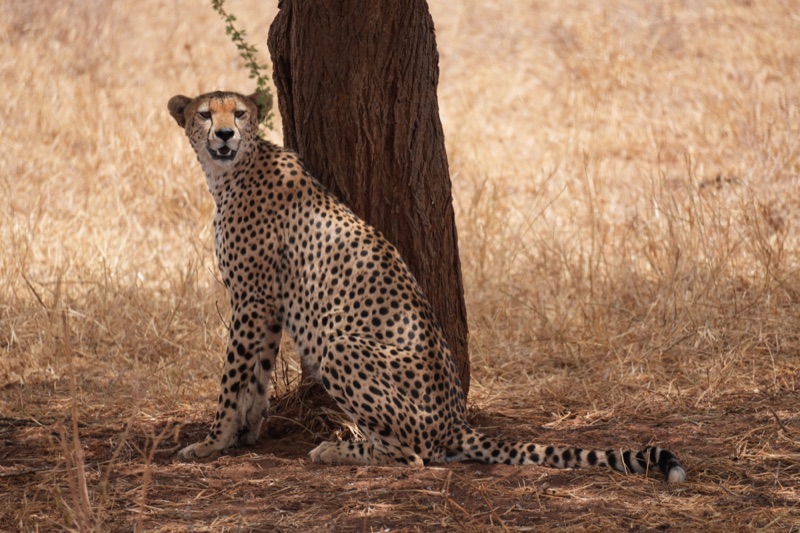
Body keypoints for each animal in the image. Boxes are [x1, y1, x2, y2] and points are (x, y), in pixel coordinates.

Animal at [167, 90, 687, 482]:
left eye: (239, 113)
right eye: (205, 114)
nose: (225, 135)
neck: (234, 170)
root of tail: (457, 421)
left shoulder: (251, 300)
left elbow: (232, 377)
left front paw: (211, 442)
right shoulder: (267, 304)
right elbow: (255, 374)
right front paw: (245, 433)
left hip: (340, 347)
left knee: (415, 456)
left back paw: (337, 451)